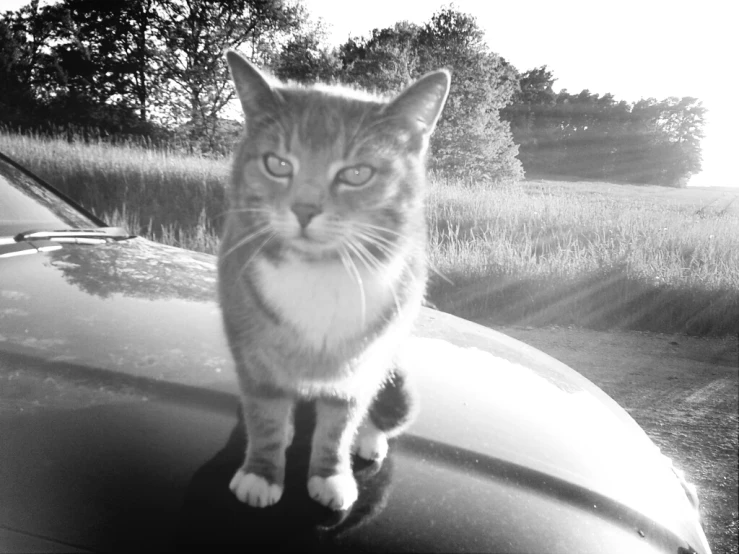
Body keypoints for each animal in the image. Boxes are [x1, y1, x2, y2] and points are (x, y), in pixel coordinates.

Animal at [218, 48, 450, 508]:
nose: (304, 210)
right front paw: (261, 475)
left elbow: (339, 425)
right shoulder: (251, 351)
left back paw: (370, 440)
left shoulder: (362, 366)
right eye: (277, 164)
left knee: (382, 417)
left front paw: (330, 476)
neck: (320, 271)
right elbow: (265, 414)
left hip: (399, 384)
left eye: (356, 173)